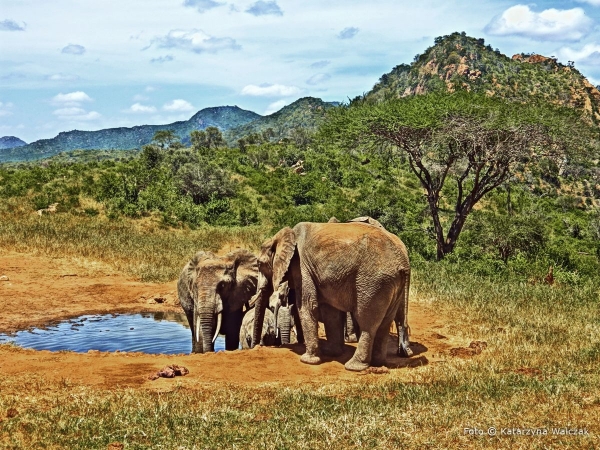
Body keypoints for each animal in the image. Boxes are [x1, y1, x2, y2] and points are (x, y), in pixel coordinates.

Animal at [251, 221, 410, 372]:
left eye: (259, 264)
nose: (256, 346)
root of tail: (403, 263)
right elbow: (331, 313)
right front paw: (331, 353)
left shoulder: (302, 268)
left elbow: (307, 306)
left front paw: (308, 360)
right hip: (391, 284)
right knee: (385, 321)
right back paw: (378, 364)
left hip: (373, 282)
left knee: (367, 321)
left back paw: (354, 366)